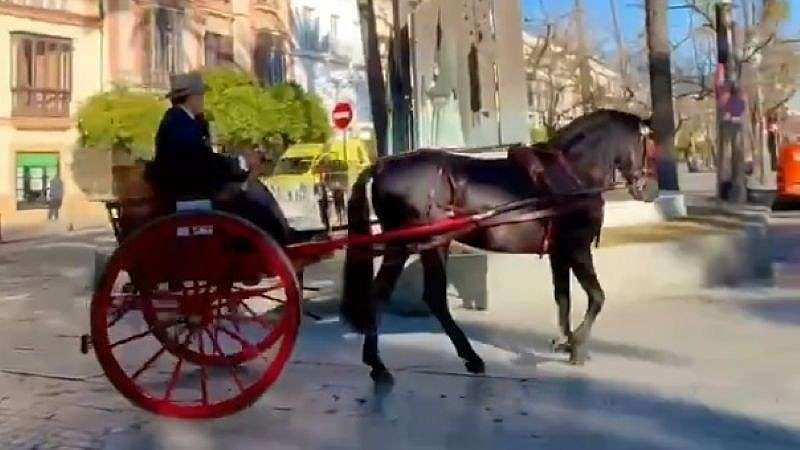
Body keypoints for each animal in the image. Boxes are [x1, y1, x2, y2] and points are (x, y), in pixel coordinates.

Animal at [340, 109, 660, 384]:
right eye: (650, 146)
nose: (652, 190)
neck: (572, 174)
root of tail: (383, 164)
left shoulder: (559, 252)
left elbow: (563, 299)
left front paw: (566, 341)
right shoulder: (577, 247)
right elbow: (597, 297)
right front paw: (578, 345)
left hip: (405, 245)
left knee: (382, 295)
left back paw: (378, 364)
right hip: (428, 243)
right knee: (433, 299)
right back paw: (468, 358)